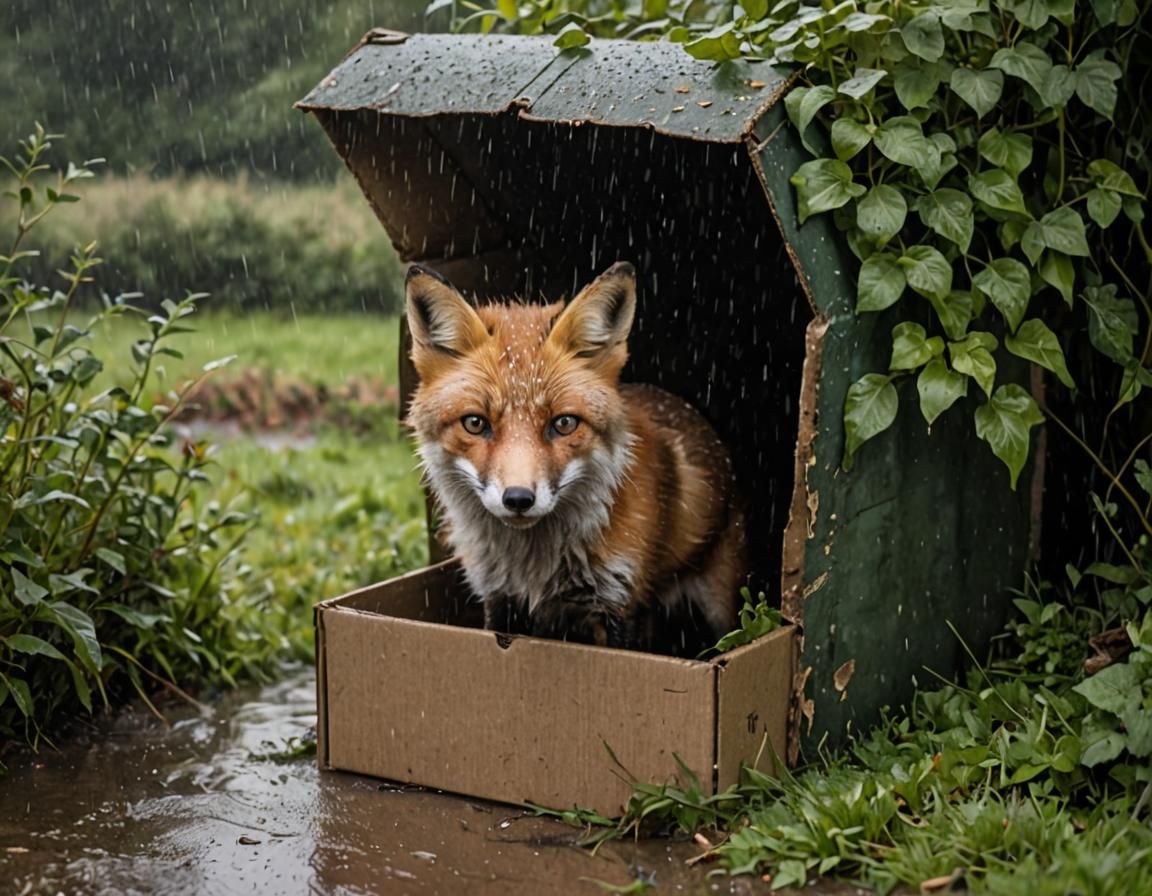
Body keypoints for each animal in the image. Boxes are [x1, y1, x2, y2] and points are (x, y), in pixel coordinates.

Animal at [403, 261, 745, 657]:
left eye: (564, 423)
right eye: (475, 423)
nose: (518, 499)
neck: (534, 566)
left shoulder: (618, 602)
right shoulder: (499, 597)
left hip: (721, 608)